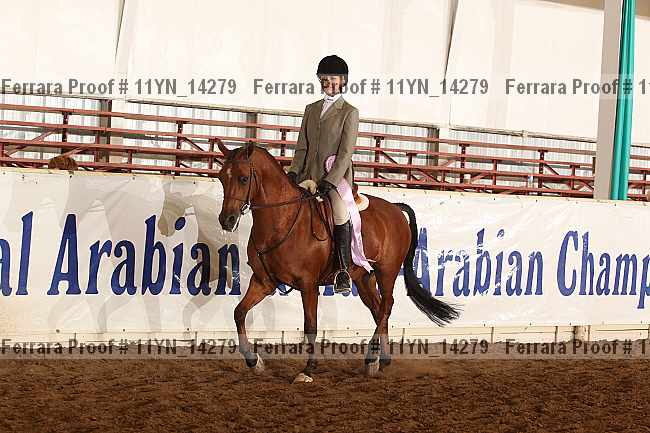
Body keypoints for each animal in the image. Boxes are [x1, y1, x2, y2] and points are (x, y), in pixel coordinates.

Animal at [216, 140, 459, 381]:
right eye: (221, 177)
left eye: (243, 178)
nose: (226, 220)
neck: (283, 221)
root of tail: (395, 209)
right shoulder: (263, 281)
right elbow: (239, 312)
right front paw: (253, 361)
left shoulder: (308, 285)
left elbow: (310, 325)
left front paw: (308, 369)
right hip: (364, 277)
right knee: (377, 308)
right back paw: (382, 360)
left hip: (387, 271)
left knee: (386, 306)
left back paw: (371, 359)